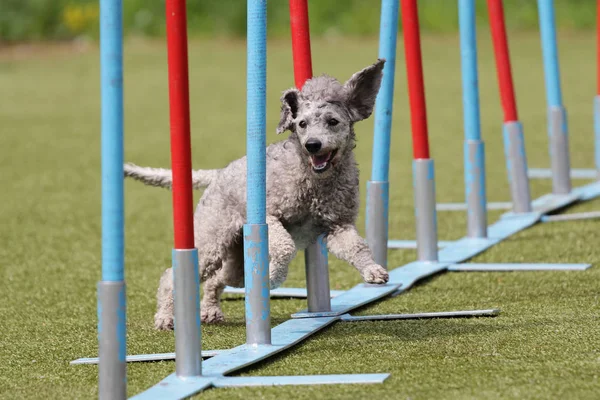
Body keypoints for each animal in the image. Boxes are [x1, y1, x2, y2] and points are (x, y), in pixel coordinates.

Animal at [124, 58, 392, 328]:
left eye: (333, 121)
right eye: (302, 124)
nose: (312, 145)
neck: (312, 180)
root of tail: (217, 174)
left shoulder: (338, 225)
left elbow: (357, 247)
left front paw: (373, 271)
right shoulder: (270, 217)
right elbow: (285, 247)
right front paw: (273, 275)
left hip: (236, 264)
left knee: (217, 279)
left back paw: (210, 311)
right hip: (211, 242)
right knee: (171, 277)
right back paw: (165, 318)